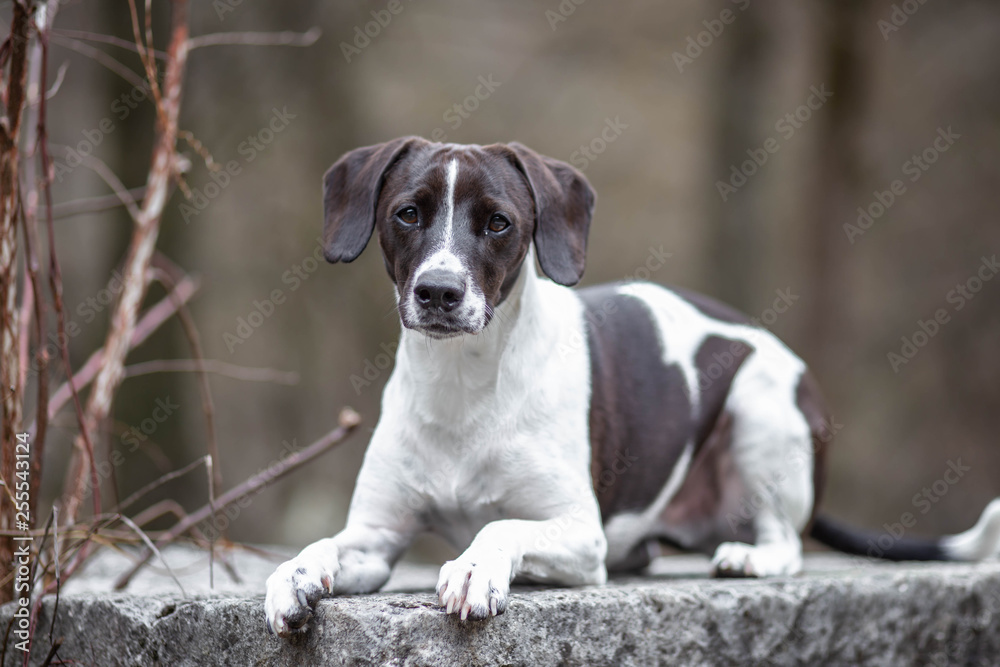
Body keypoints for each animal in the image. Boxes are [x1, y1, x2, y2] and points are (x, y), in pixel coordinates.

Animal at [264, 136, 1000, 636]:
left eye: (499, 222)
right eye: (408, 214)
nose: (439, 291)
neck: (463, 382)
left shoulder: (579, 532)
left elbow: (500, 524)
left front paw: (475, 566)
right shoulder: (375, 537)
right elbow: (327, 545)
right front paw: (294, 572)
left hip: (762, 412)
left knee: (788, 543)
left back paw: (750, 556)